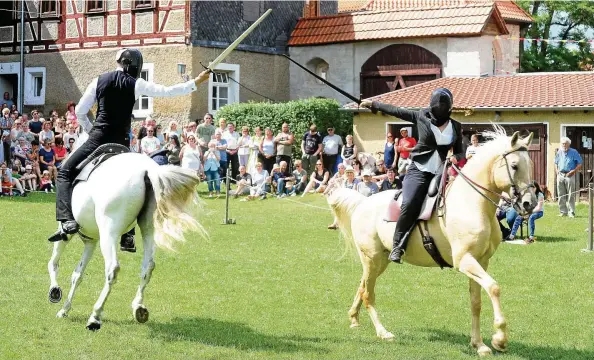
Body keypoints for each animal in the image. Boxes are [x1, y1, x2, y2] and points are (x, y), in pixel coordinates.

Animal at [46, 132, 205, 330]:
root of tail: (146, 170)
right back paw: (138, 307)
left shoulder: (67, 233)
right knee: (148, 266)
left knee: (112, 269)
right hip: (148, 229)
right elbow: (77, 274)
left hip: (109, 233)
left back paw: (95, 316)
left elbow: (54, 263)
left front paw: (55, 292)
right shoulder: (91, 242)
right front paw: (65, 309)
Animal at [326, 129, 536, 358]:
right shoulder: (465, 261)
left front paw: (479, 344)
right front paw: (500, 339)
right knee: (368, 293)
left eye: (530, 164)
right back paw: (383, 332)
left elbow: (476, 302)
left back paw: (354, 318)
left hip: (380, 260)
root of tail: (363, 203)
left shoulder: (481, 261)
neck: (472, 203)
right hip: (371, 258)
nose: (529, 203)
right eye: (514, 166)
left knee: (362, 284)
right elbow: (494, 287)